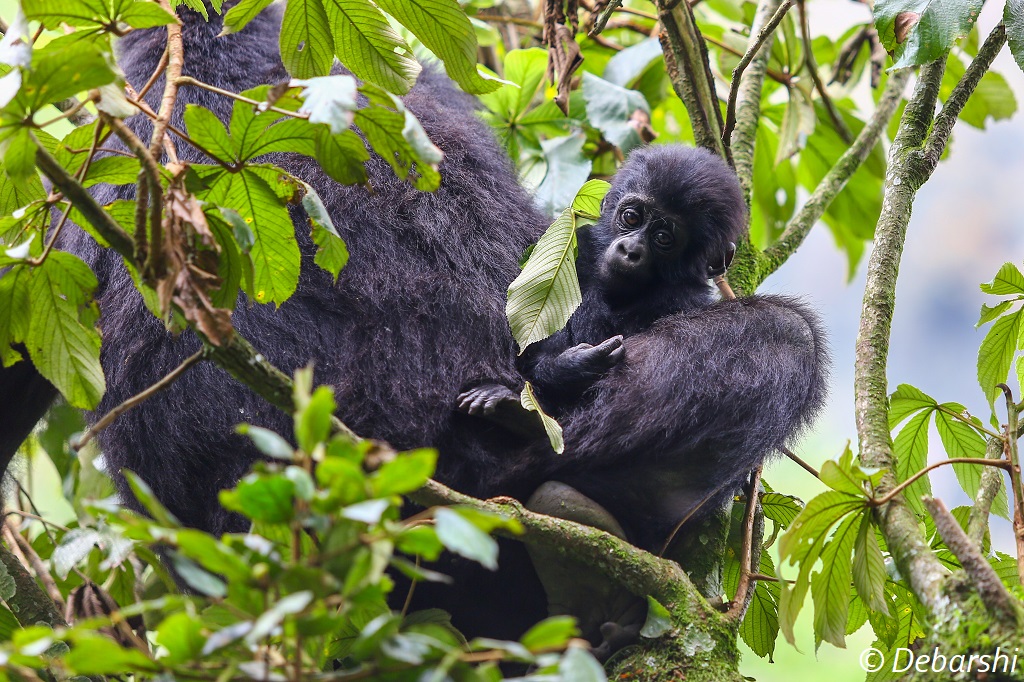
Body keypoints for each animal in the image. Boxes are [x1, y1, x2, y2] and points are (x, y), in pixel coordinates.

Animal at [460, 144, 749, 428]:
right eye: (631, 217)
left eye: (663, 238)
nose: (630, 250)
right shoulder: (581, 252)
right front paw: (576, 366)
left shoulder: (688, 303)